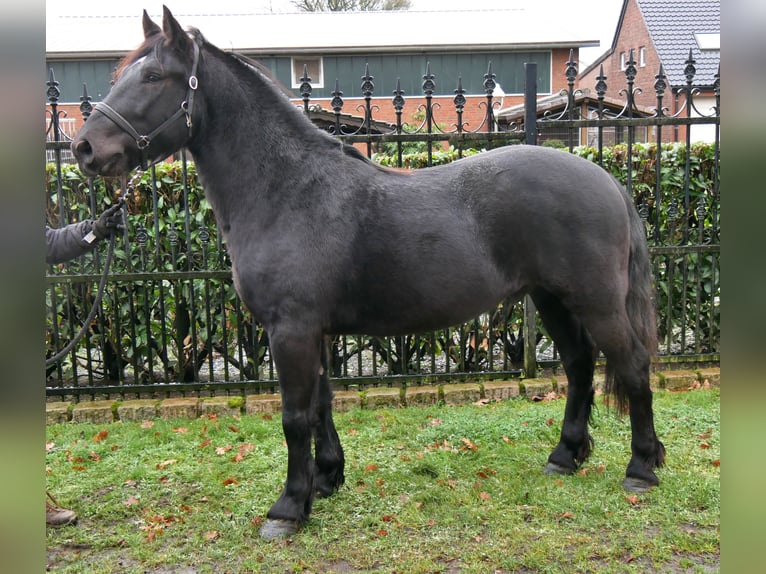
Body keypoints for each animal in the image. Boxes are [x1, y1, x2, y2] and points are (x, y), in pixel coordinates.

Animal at [72, 6, 665, 540]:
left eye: (153, 76)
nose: (84, 148)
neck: (286, 189)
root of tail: (607, 182)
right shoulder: (312, 331)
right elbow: (322, 403)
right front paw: (325, 480)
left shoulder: (290, 329)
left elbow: (294, 416)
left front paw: (288, 508)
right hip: (551, 298)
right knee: (581, 365)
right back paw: (566, 455)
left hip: (596, 301)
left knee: (632, 367)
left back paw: (641, 468)